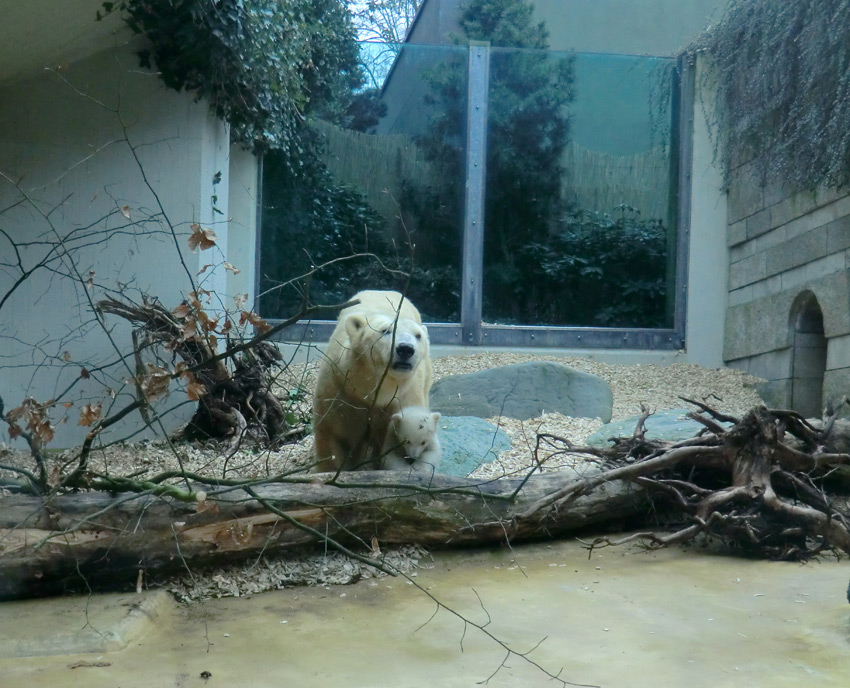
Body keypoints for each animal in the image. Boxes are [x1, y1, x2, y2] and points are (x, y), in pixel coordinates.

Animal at [312, 290, 430, 472]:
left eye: (418, 336)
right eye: (385, 331)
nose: (405, 349)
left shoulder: (403, 397)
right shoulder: (341, 391)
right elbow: (335, 436)